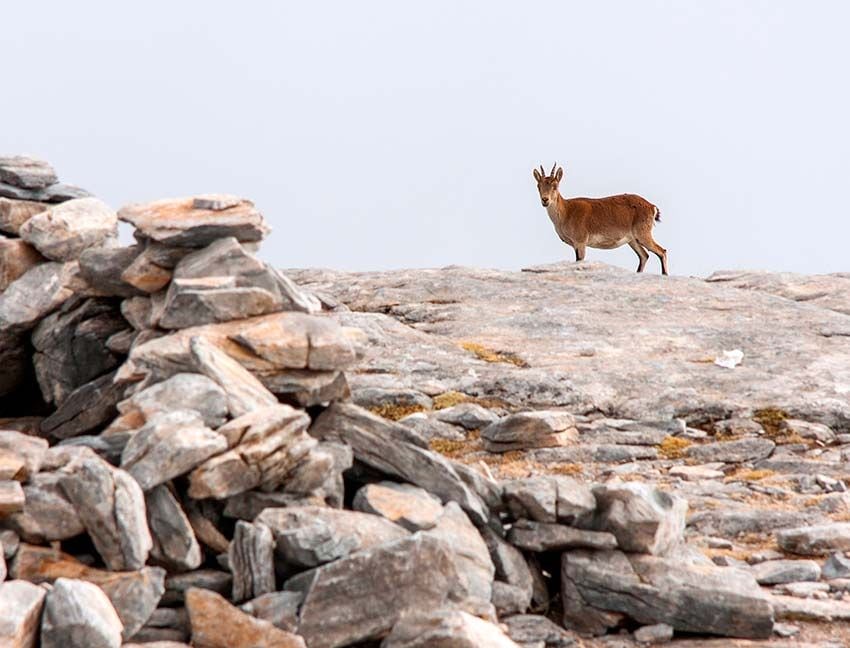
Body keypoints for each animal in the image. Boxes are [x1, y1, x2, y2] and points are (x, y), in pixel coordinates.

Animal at [532, 163, 664, 274]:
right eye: (538, 186)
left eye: (555, 186)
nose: (545, 200)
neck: (566, 211)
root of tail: (651, 206)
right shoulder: (575, 244)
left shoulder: (580, 241)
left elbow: (579, 261)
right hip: (633, 239)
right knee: (644, 256)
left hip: (643, 233)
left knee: (662, 251)